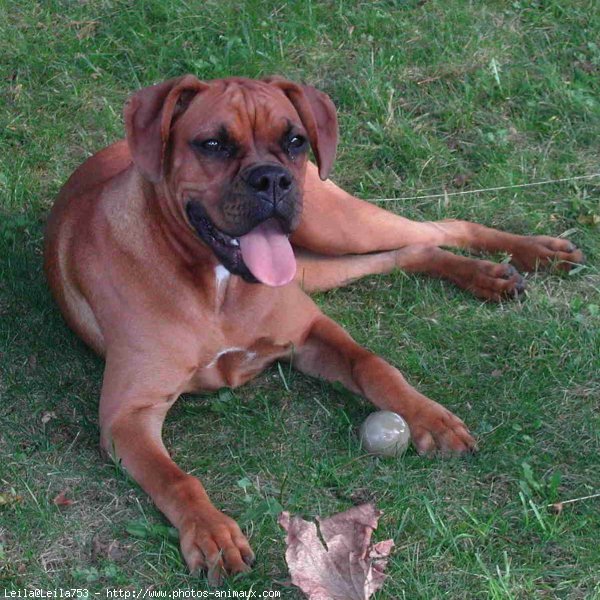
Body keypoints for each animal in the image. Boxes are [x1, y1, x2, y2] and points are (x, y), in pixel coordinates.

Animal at [44, 75, 584, 580]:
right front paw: (212, 531)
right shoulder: (126, 416)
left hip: (335, 225)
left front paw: (429, 418)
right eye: (212, 144)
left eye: (295, 140)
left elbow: (374, 366)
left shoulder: (312, 333)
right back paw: (490, 274)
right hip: (317, 260)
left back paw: (532, 255)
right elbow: (175, 478)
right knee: (413, 250)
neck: (216, 285)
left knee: (442, 226)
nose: (272, 179)